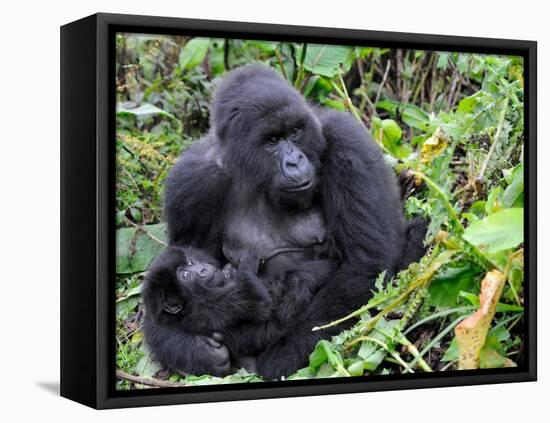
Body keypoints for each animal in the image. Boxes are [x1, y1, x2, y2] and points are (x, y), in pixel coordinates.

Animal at [142, 245, 272, 378]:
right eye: (186, 275)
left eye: (190, 262)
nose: (202, 269)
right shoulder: (208, 305)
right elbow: (254, 298)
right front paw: (247, 261)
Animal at [158, 63, 426, 380]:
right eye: (272, 140)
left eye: (295, 132)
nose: (295, 161)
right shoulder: (190, 183)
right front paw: (196, 352)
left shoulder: (349, 143)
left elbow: (365, 265)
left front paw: (278, 361)